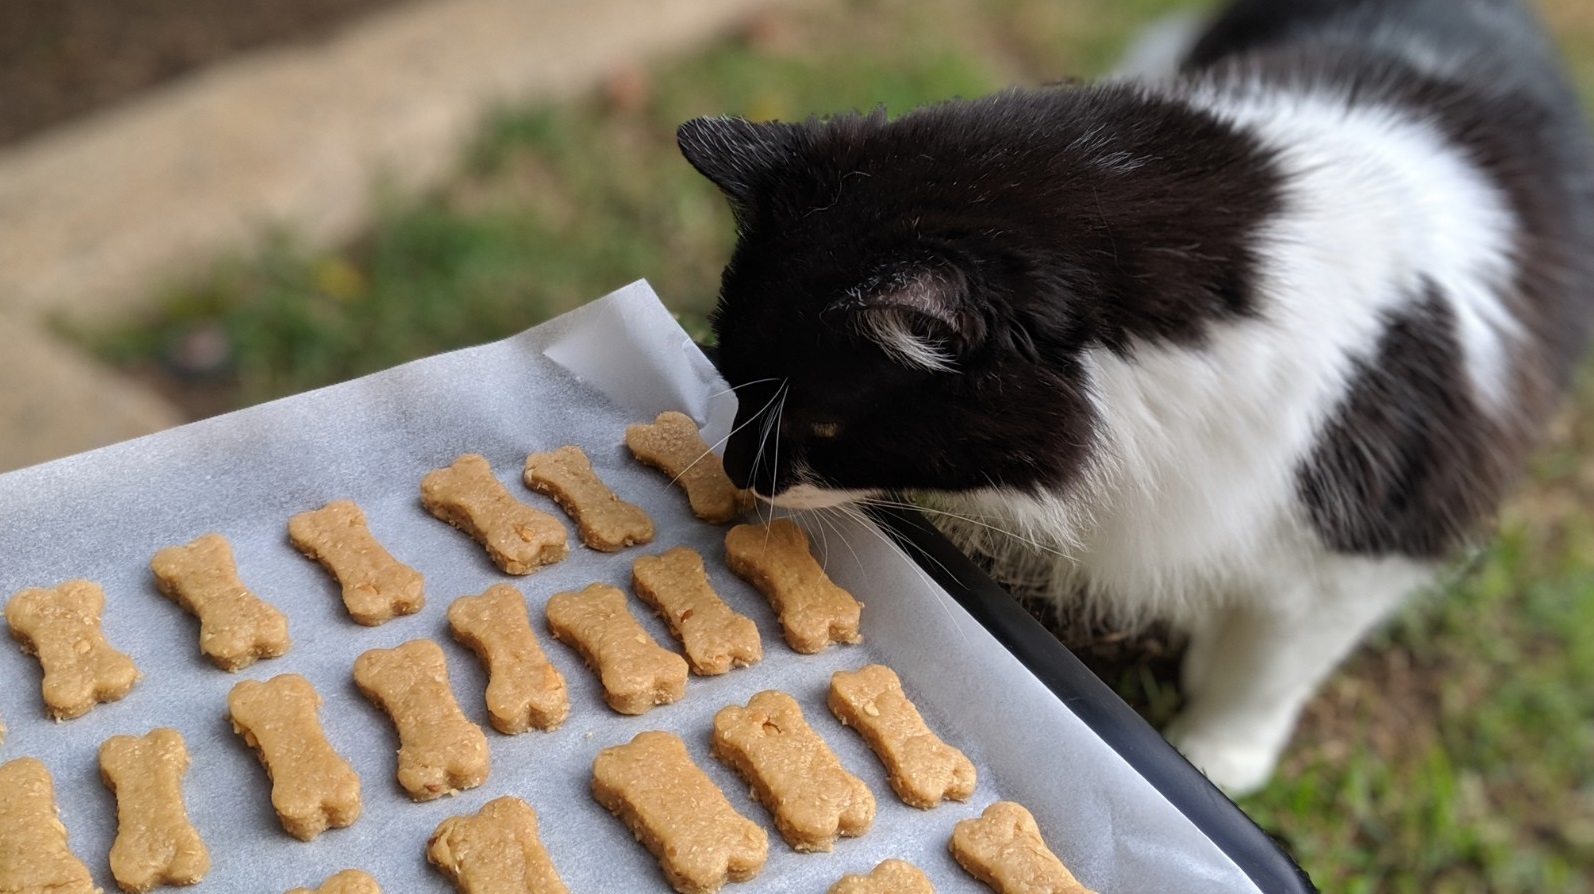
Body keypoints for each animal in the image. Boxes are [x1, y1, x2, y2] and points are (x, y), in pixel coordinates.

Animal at [675, 0, 1594, 793]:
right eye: (734, 381)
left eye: (821, 424)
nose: (736, 471)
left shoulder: (1369, 539)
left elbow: (1272, 661)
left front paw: (1219, 753)